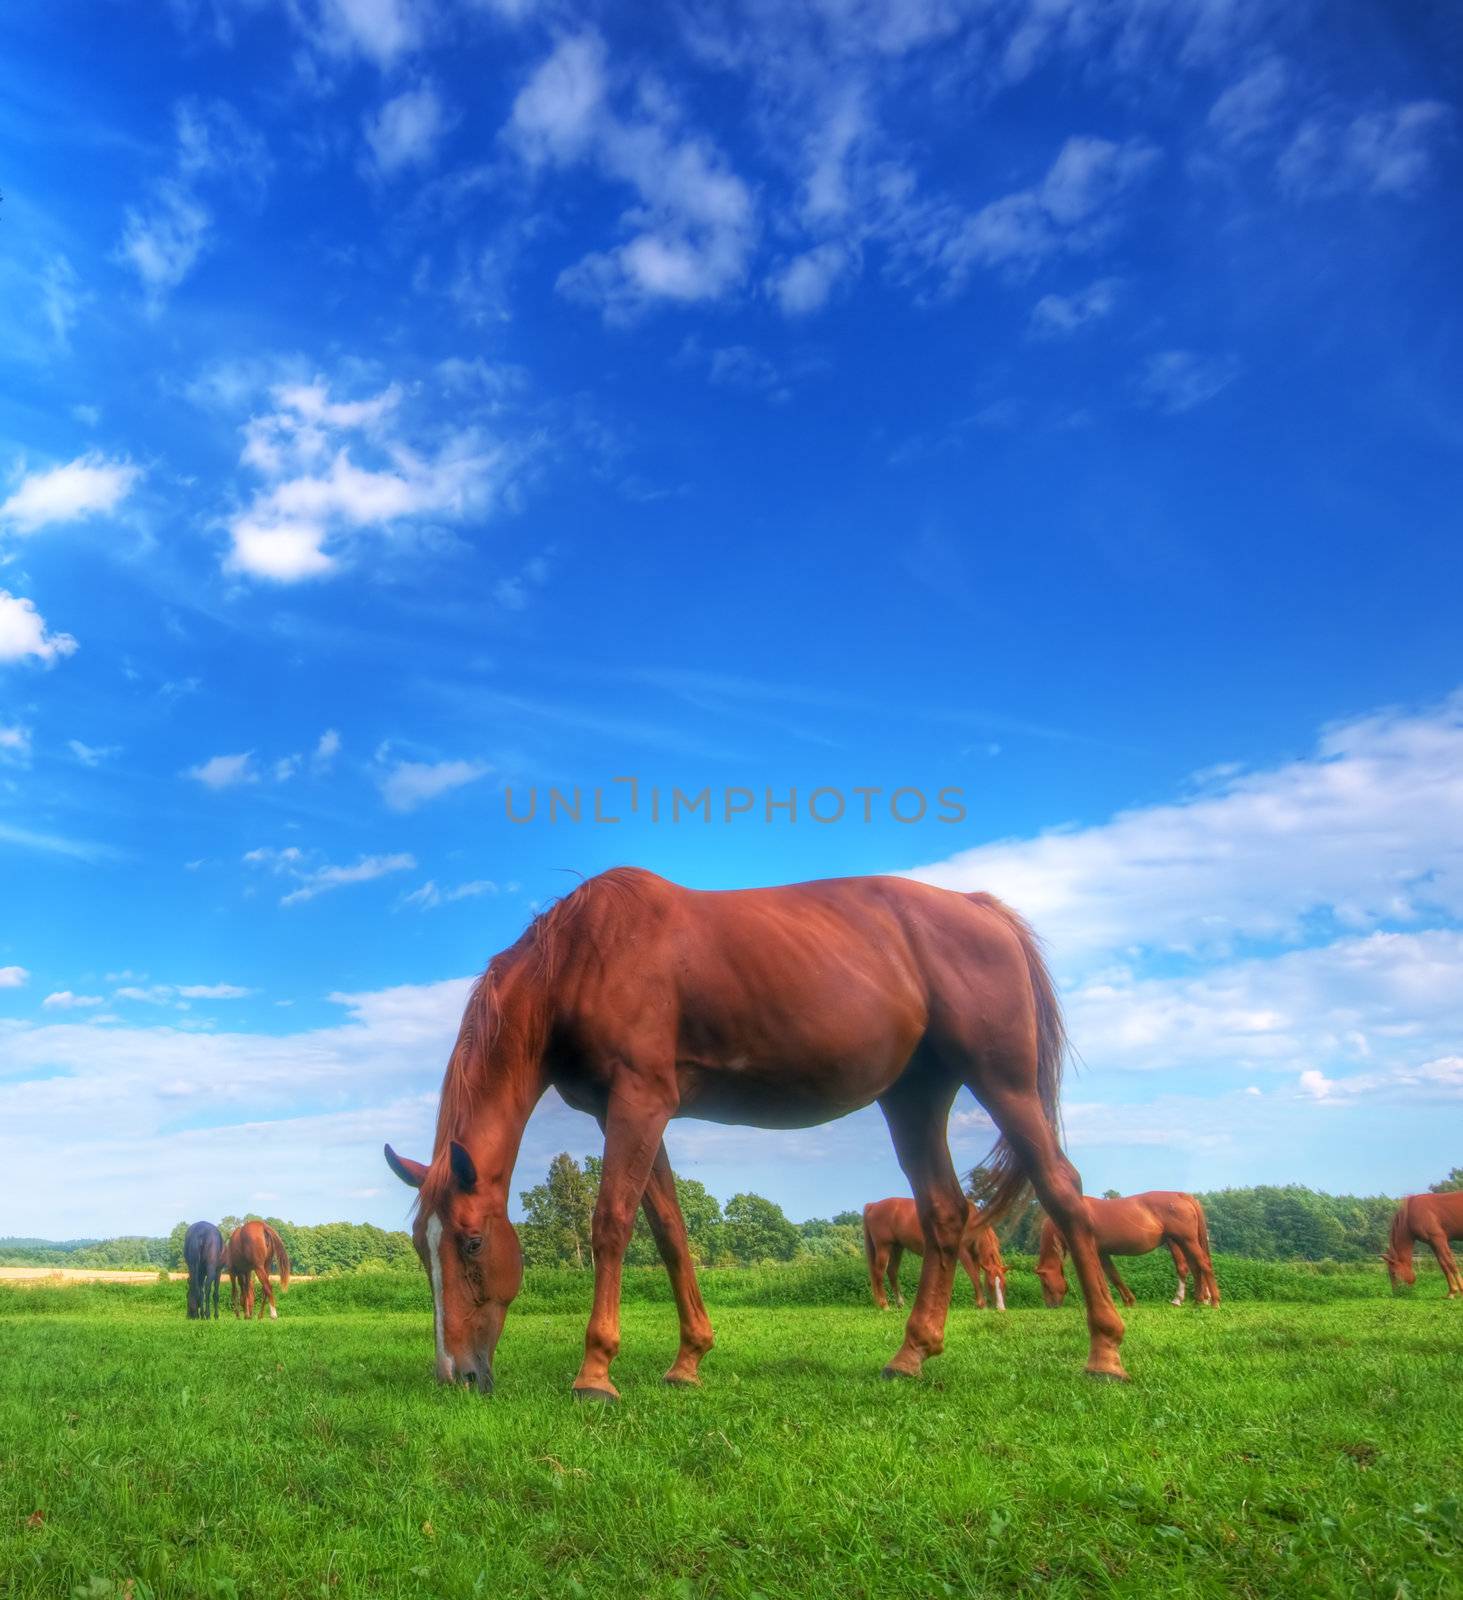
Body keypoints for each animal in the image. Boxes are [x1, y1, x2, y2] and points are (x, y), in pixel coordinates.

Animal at [857, 1196, 1005, 1305]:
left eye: (1004, 1284)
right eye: (991, 1284)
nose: (1001, 1309)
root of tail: (873, 1205)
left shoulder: (974, 1256)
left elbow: (976, 1275)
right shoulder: (963, 1253)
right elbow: (974, 1275)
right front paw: (981, 1304)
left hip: (897, 1248)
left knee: (892, 1272)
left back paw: (900, 1303)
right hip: (883, 1247)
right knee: (878, 1274)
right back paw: (884, 1305)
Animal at [1037, 1190, 1222, 1312]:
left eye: (1045, 1283)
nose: (1050, 1306)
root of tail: (1180, 1195)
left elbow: (1102, 1278)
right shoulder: (1103, 1253)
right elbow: (1114, 1276)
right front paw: (1129, 1301)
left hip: (1187, 1241)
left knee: (1204, 1265)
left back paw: (1214, 1302)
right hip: (1182, 1242)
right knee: (1195, 1267)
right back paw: (1196, 1301)